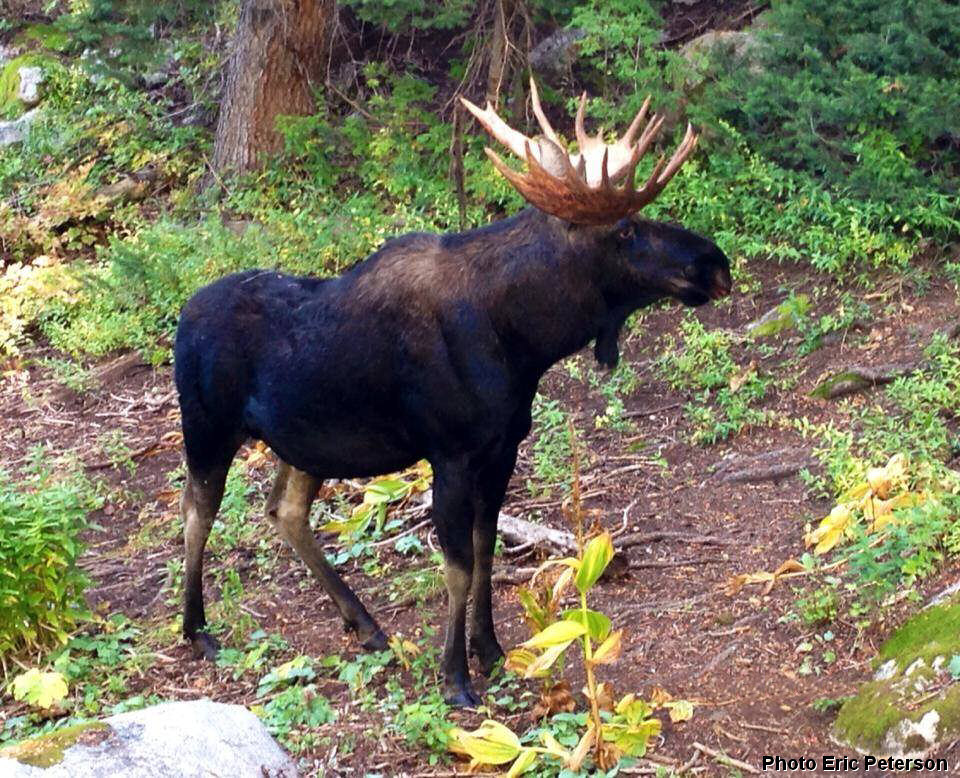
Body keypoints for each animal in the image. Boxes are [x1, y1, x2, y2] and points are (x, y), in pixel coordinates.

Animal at [174, 83, 728, 704]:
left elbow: (486, 548)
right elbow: (457, 565)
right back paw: (196, 628)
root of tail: (180, 318)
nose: (716, 263)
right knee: (197, 510)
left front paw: (490, 650)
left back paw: (365, 624)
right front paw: (455, 676)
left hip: (304, 444)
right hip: (207, 425)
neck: (524, 340)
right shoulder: (451, 452)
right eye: (625, 230)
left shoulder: (503, 446)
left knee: (285, 512)